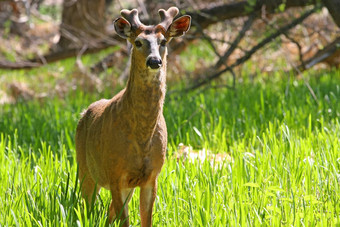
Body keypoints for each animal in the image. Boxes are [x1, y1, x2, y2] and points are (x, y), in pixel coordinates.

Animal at [75, 6, 191, 226]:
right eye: (138, 42)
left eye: (163, 41)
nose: (154, 61)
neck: (142, 137)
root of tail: (84, 113)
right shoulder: (114, 174)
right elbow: (124, 221)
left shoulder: (151, 177)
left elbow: (146, 219)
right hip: (85, 169)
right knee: (87, 209)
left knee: (108, 213)